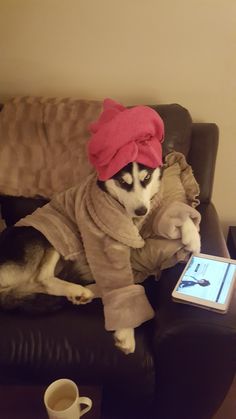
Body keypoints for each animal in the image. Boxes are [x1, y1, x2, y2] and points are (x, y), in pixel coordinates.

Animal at [0, 161, 200, 354]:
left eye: (147, 178)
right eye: (122, 182)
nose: (141, 211)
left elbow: (168, 212)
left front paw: (192, 237)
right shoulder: (106, 244)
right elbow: (120, 283)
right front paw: (126, 331)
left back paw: (82, 293)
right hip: (52, 231)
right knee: (42, 278)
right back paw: (78, 291)